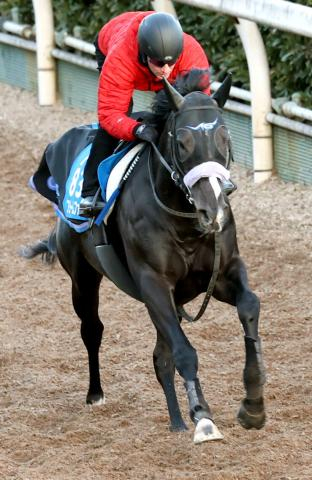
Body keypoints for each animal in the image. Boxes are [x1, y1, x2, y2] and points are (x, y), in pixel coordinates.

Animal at [22, 70, 266, 442]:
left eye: (225, 138)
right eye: (182, 142)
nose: (213, 209)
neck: (185, 221)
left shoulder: (221, 272)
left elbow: (249, 305)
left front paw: (253, 405)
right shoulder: (153, 282)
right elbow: (184, 352)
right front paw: (203, 417)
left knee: (160, 355)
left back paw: (177, 420)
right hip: (83, 278)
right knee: (93, 329)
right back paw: (97, 394)